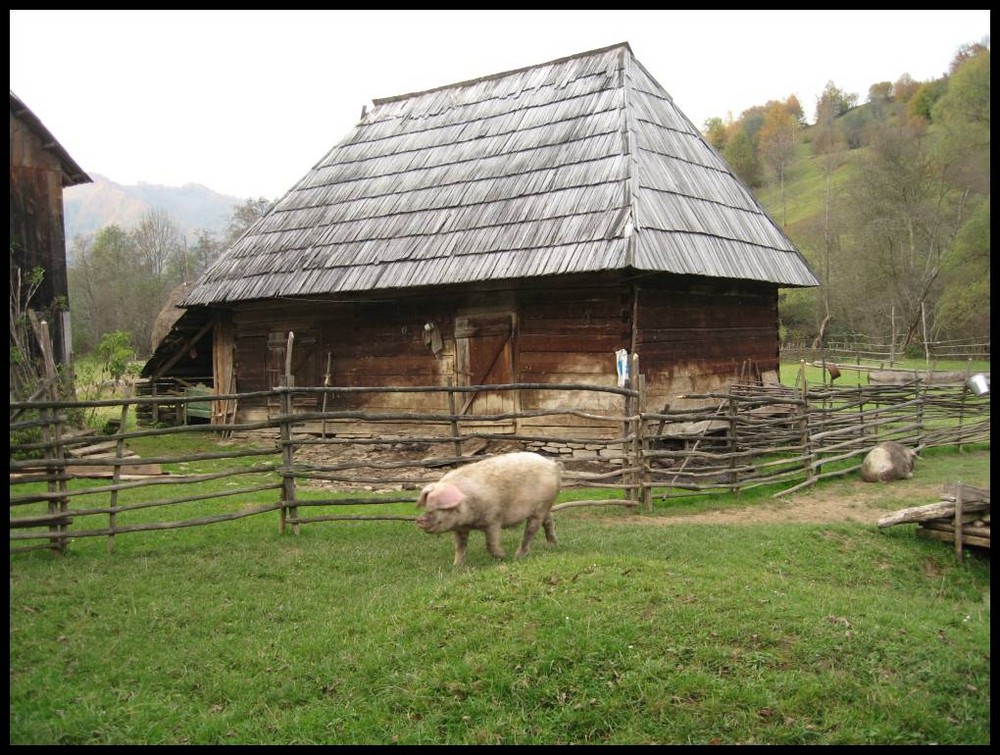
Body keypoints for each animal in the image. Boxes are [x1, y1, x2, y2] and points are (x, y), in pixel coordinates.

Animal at [416, 448, 564, 568]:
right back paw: (552, 545)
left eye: (436, 508)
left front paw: (503, 557)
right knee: (549, 520)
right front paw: (456, 566)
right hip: (544, 506)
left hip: (540, 507)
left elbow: (490, 544)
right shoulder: (460, 528)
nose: (419, 520)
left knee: (531, 530)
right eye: (427, 507)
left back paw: (518, 556)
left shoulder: (493, 519)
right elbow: (460, 546)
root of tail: (552, 464)